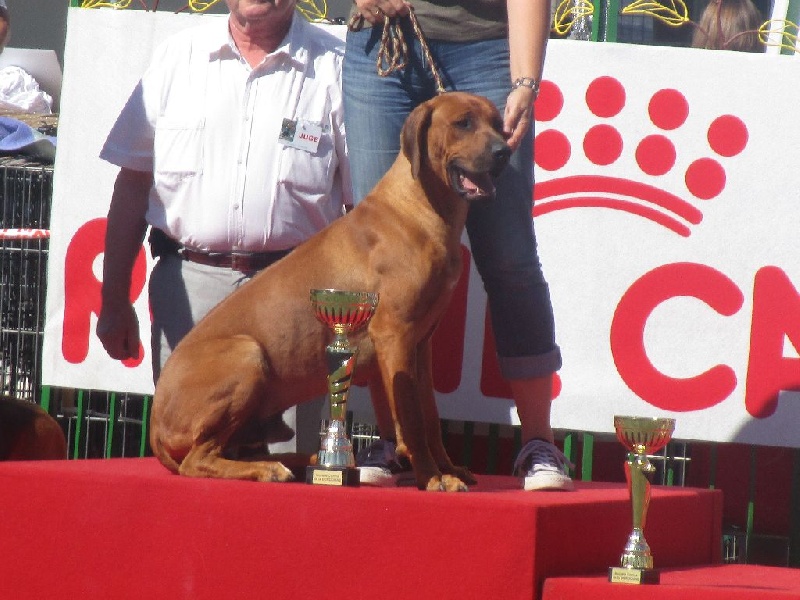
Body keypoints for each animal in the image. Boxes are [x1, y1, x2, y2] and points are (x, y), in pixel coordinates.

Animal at [150, 91, 511, 491]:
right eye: (463, 123)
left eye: (498, 124)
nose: (505, 151)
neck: (418, 208)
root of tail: (154, 426)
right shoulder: (396, 336)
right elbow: (413, 419)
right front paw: (432, 478)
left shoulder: (421, 342)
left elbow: (430, 416)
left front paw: (448, 469)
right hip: (247, 353)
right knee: (197, 460)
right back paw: (269, 469)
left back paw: (299, 461)